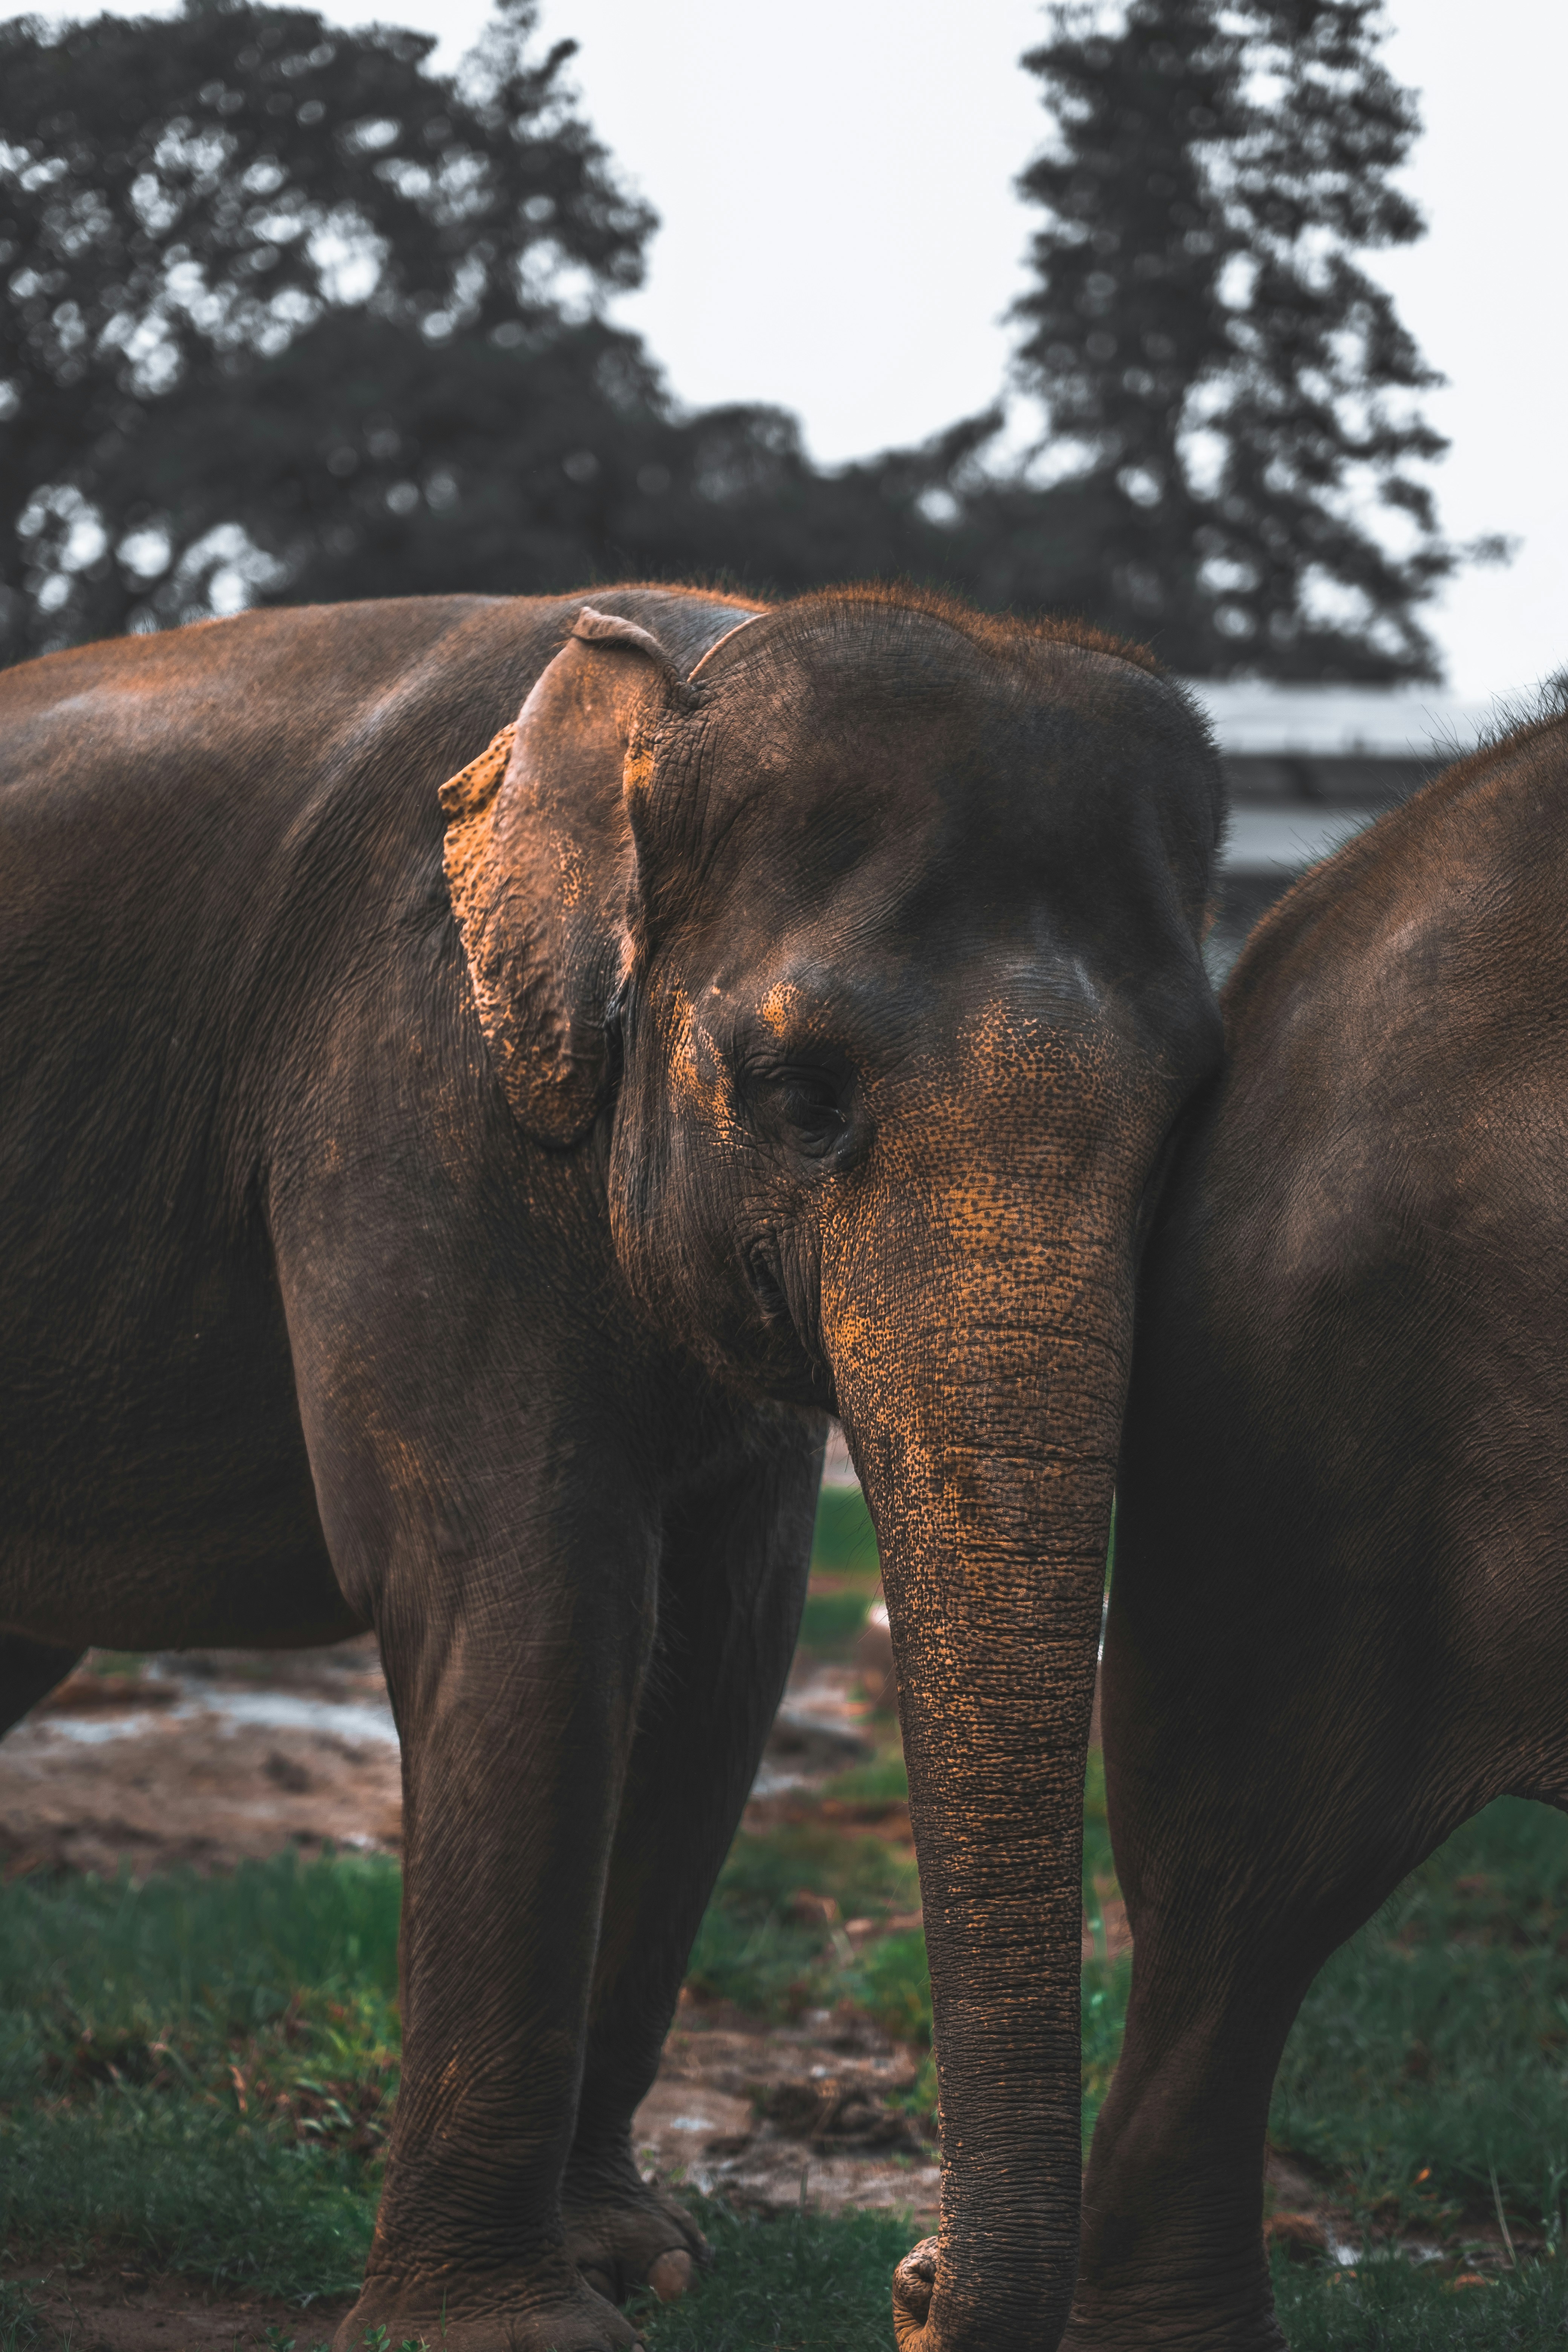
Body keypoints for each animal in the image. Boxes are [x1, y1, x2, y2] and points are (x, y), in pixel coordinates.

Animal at [0, 582, 1223, 2352]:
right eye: (800, 1098)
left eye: (1192, 1126)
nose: (913, 2280)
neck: (683, 673)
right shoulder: (411, 1080)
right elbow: (530, 1593)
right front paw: (511, 2326)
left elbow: (721, 1656)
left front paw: (639, 2260)